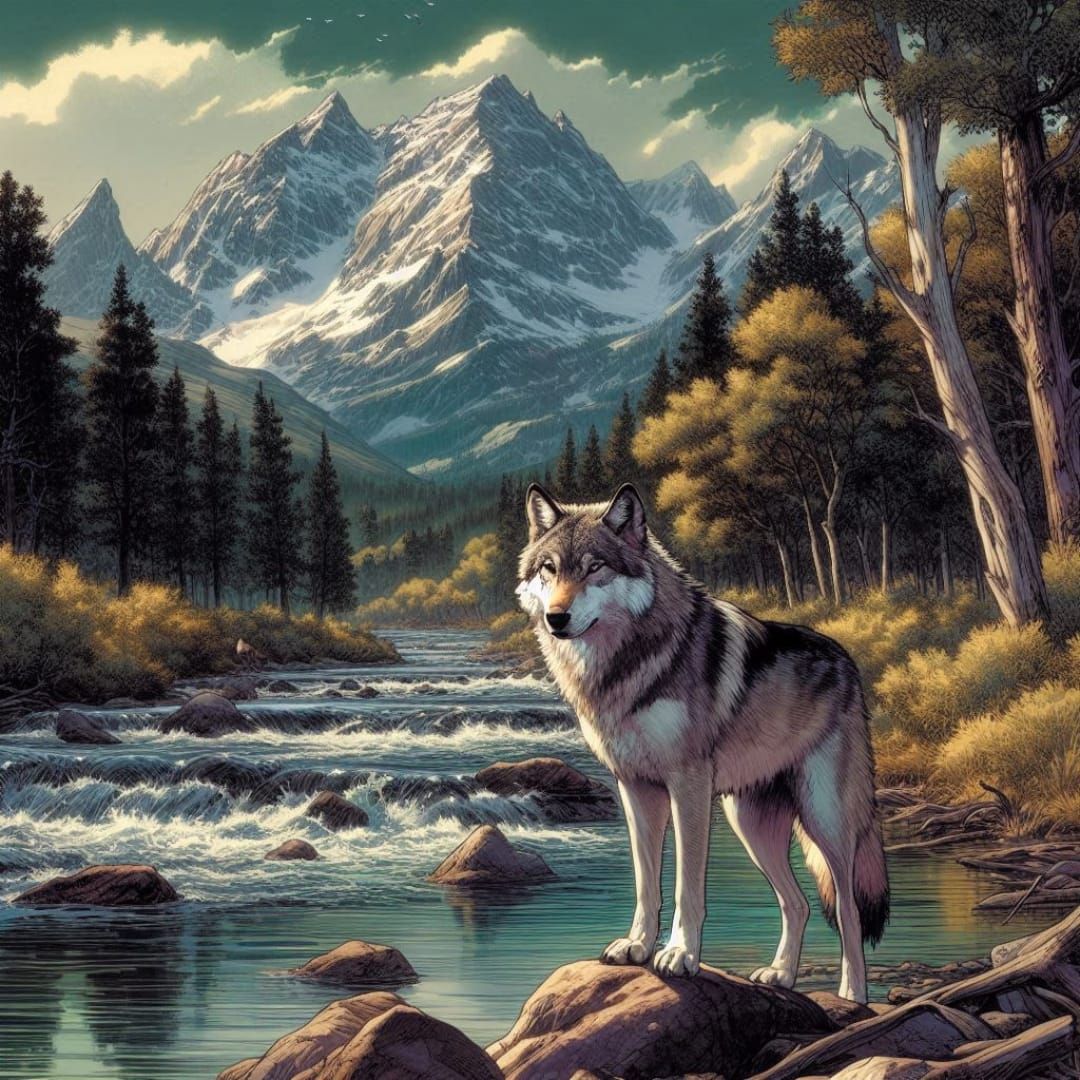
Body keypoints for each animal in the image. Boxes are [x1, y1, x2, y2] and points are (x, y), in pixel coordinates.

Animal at [516, 482, 889, 1002]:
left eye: (594, 567)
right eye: (549, 569)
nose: (556, 618)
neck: (626, 666)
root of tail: (848, 660)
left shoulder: (688, 785)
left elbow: (686, 886)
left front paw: (680, 955)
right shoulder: (635, 787)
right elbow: (645, 883)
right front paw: (637, 946)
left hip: (824, 820)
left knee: (848, 909)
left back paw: (852, 995)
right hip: (749, 824)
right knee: (797, 904)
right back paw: (781, 976)